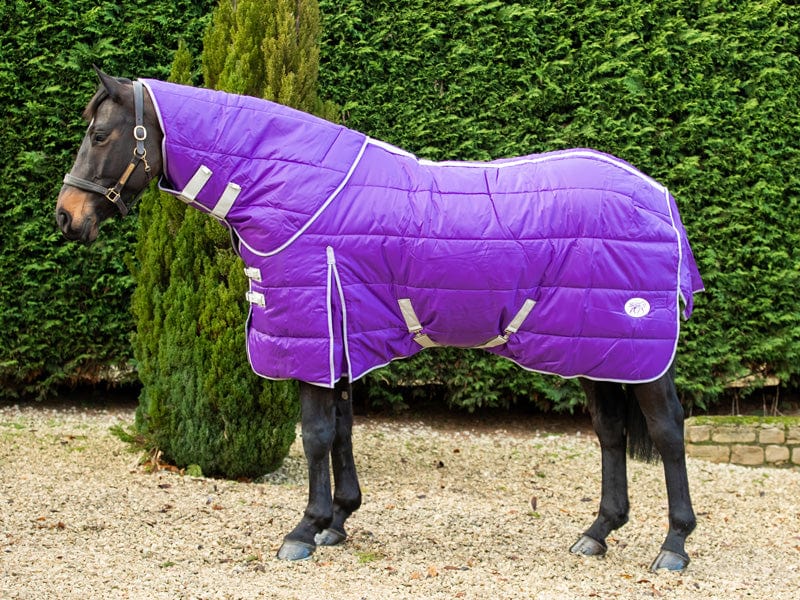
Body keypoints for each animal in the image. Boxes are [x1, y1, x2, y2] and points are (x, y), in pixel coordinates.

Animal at [56, 68, 702, 571]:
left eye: (99, 134)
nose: (67, 217)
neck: (298, 188)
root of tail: (660, 197)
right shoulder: (342, 336)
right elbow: (341, 429)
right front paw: (338, 521)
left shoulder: (315, 337)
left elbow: (316, 435)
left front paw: (304, 529)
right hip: (599, 348)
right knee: (611, 434)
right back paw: (598, 533)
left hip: (641, 351)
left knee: (668, 431)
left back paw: (673, 546)